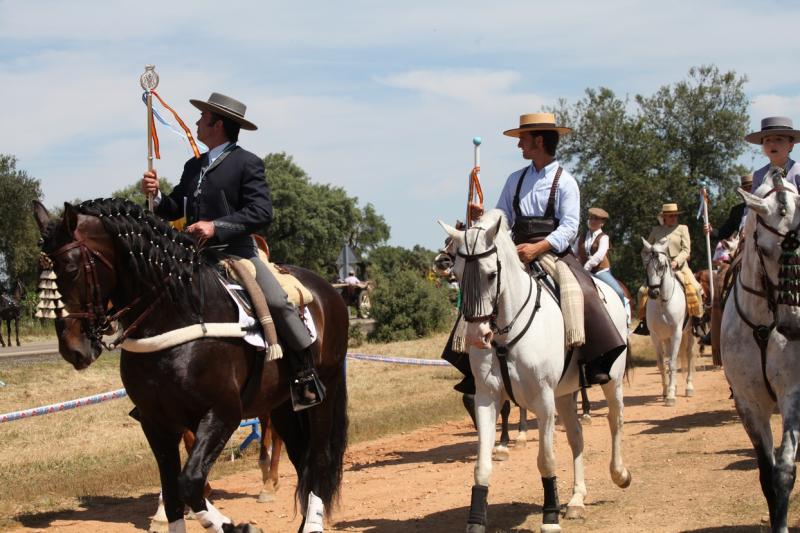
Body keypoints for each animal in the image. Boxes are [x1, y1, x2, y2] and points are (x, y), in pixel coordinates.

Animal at [34, 198, 346, 532]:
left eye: (70, 268)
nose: (72, 348)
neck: (178, 314)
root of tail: (328, 290)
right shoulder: (156, 422)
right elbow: (172, 491)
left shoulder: (222, 413)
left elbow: (190, 482)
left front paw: (236, 526)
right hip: (282, 404)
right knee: (300, 456)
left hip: (321, 396)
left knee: (318, 458)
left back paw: (309, 522)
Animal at [438, 211, 632, 532]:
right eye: (459, 272)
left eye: (491, 275)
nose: (477, 336)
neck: (505, 334)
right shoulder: (487, 398)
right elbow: (482, 465)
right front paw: (476, 521)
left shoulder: (543, 400)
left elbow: (547, 459)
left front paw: (550, 516)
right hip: (564, 394)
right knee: (576, 437)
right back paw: (577, 499)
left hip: (611, 380)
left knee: (615, 421)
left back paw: (619, 474)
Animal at [640, 237, 696, 404]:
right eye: (646, 265)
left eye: (662, 266)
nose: (653, 292)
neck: (662, 303)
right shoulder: (655, 336)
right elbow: (661, 364)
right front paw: (666, 391)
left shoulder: (677, 333)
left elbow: (671, 362)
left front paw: (670, 396)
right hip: (667, 338)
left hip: (688, 332)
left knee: (689, 354)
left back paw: (688, 387)